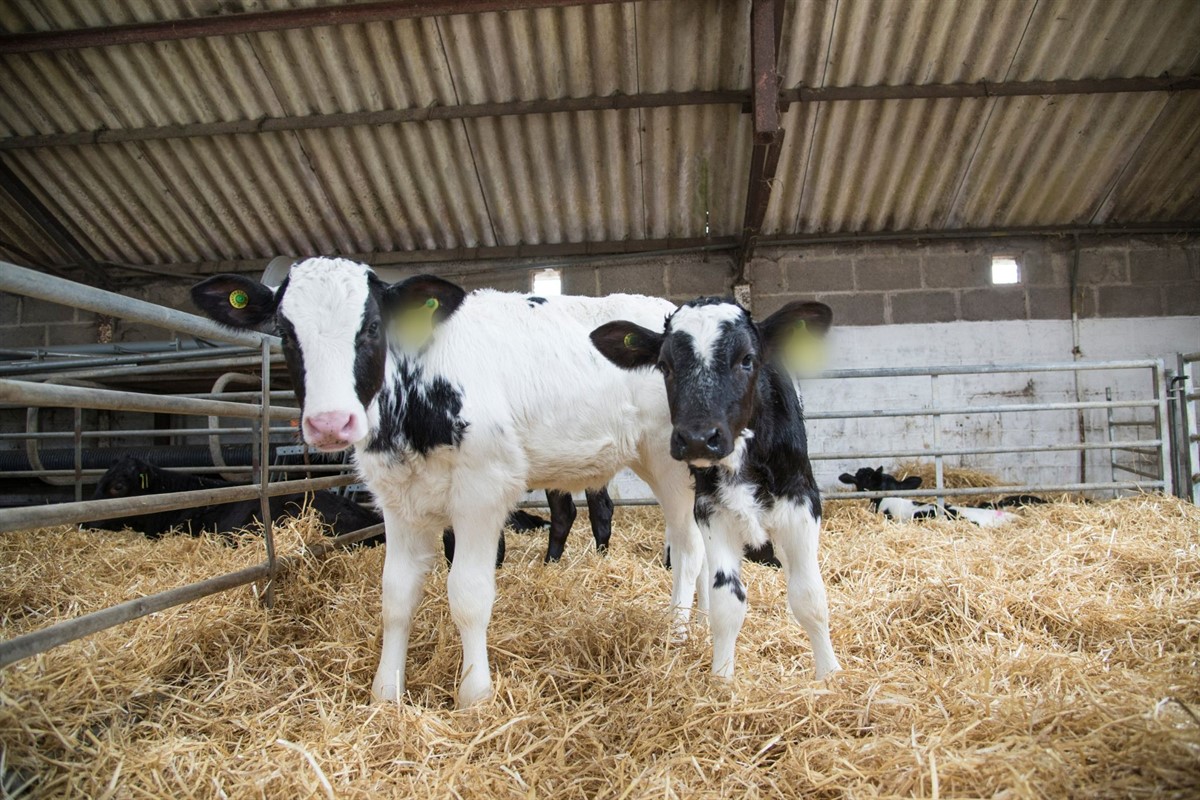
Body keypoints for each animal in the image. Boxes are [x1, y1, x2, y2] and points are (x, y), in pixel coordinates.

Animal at [191, 258, 706, 707]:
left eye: (372, 328)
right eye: (284, 332)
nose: (330, 422)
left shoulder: (484, 489)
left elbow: (469, 594)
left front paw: (474, 695)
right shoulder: (397, 500)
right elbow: (396, 595)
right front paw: (387, 693)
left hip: (672, 460)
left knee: (688, 547)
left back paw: (678, 633)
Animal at [591, 297, 841, 682]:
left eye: (747, 359)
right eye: (664, 365)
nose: (697, 438)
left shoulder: (801, 503)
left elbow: (810, 596)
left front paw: (830, 675)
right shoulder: (712, 510)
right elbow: (727, 601)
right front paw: (721, 679)